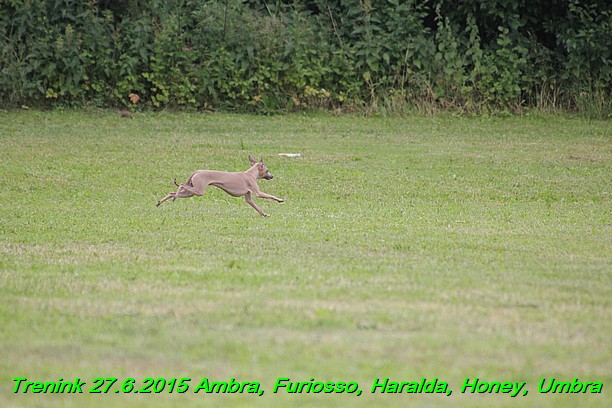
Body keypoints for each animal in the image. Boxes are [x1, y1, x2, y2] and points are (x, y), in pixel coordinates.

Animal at [155, 155, 284, 217]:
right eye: (267, 170)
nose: (271, 176)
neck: (251, 174)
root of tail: (197, 171)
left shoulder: (249, 198)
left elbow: (256, 207)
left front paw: (264, 214)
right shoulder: (257, 192)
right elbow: (270, 196)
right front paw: (280, 200)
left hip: (191, 192)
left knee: (172, 192)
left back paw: (162, 201)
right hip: (198, 190)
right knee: (181, 184)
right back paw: (174, 196)